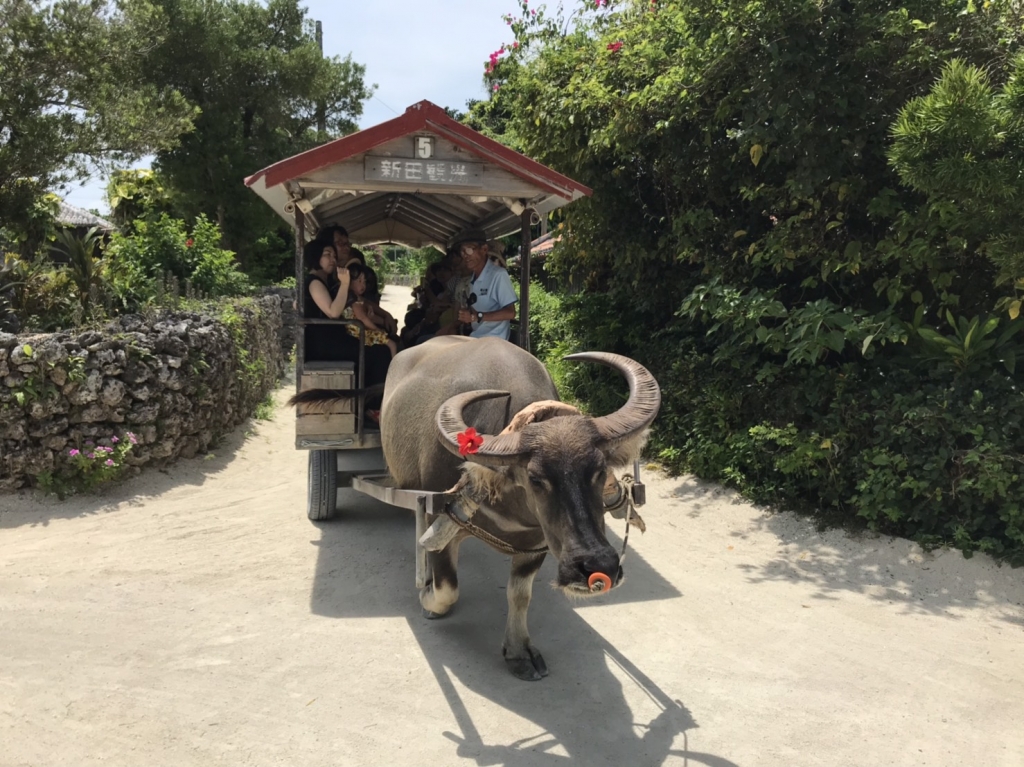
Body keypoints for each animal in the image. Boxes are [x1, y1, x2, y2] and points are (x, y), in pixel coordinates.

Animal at [381, 335, 660, 680]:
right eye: (536, 478)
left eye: (599, 470)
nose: (597, 566)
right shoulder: (439, 516)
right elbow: (447, 589)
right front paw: (427, 596)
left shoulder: (537, 543)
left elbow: (520, 594)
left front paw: (518, 651)